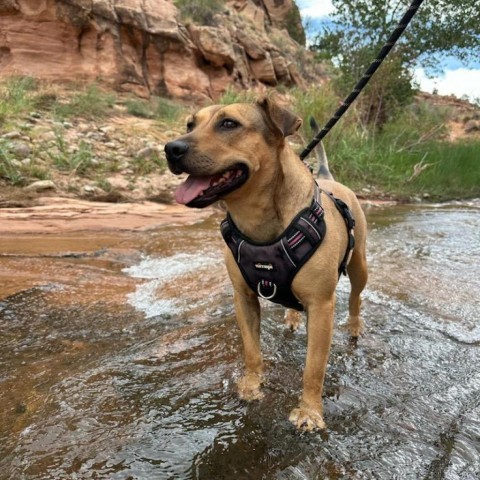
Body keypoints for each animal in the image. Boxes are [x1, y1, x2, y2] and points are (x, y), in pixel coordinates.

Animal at [164, 97, 368, 432]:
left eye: (229, 124)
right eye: (190, 124)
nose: (171, 148)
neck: (258, 221)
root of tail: (330, 178)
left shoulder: (322, 305)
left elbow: (313, 368)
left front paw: (310, 412)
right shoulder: (244, 298)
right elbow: (251, 351)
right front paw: (250, 387)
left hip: (359, 265)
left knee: (355, 297)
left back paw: (354, 326)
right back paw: (293, 317)